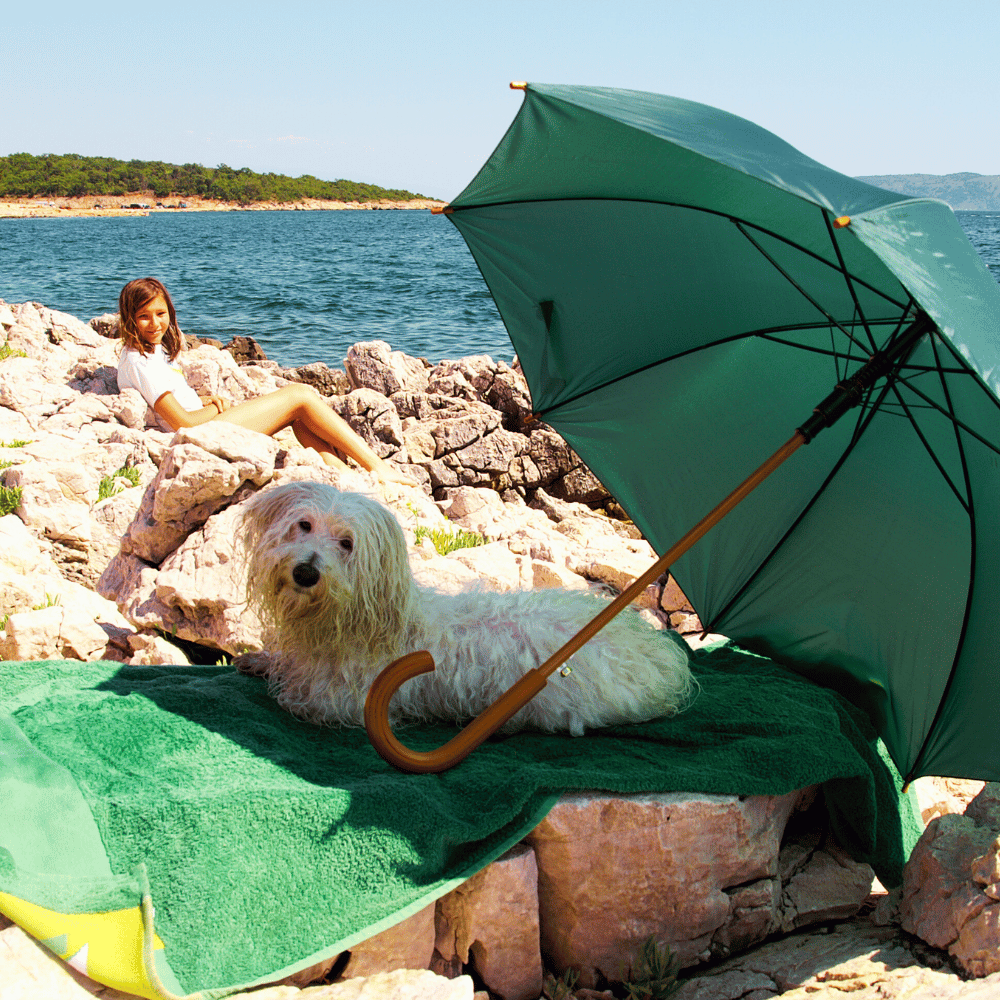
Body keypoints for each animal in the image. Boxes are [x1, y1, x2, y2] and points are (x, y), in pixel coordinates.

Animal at [242, 482, 696, 736]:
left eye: (346, 544)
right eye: (303, 525)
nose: (305, 572)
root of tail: (658, 655)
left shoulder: (338, 701)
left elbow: (295, 698)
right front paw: (258, 660)